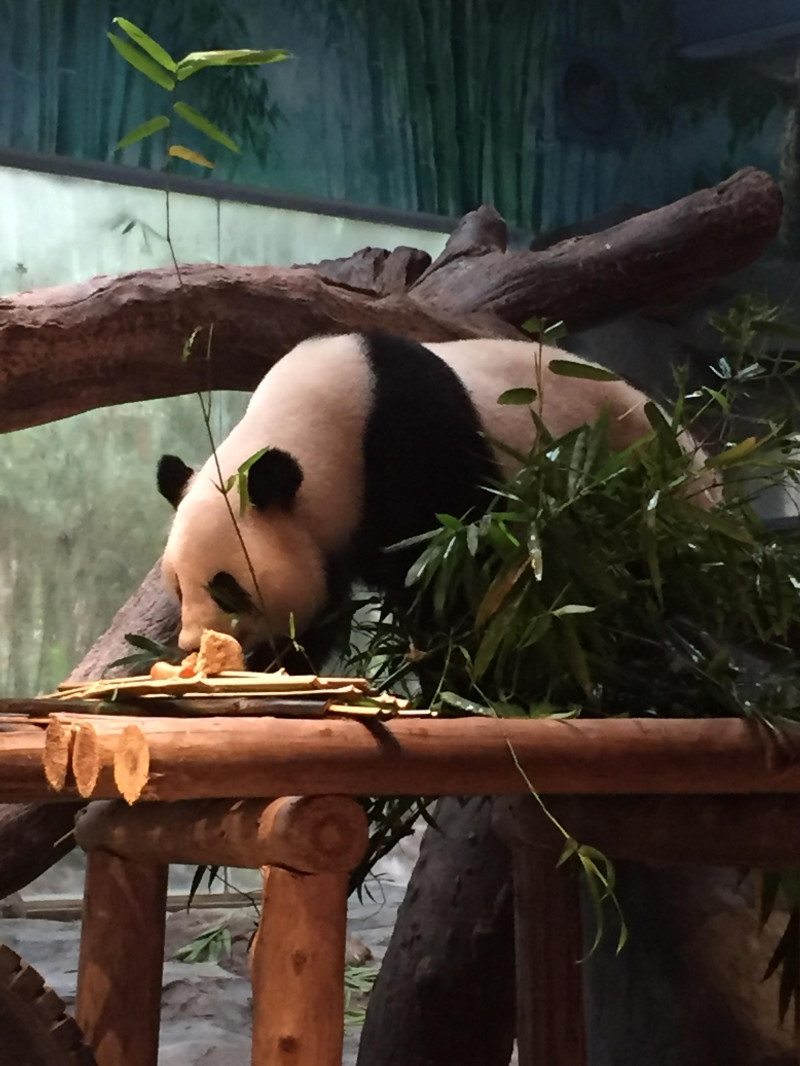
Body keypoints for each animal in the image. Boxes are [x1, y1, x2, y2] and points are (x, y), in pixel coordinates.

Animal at [156, 328, 669, 669]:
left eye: (226, 585)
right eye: (178, 586)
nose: (192, 643)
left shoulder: (418, 451)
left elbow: (456, 574)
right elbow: (318, 612)